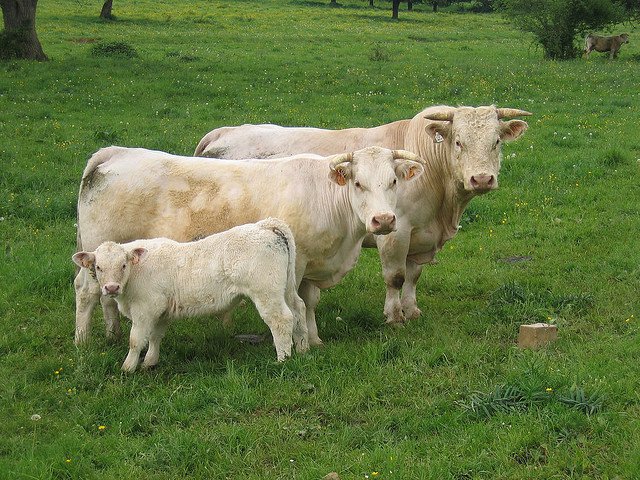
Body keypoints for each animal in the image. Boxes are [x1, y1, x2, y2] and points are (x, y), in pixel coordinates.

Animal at [72, 218, 308, 372]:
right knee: (298, 309)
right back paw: (303, 348)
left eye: (123, 265)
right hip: (286, 288)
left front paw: (127, 368)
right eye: (99, 267)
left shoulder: (145, 309)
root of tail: (264, 225)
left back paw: (283, 359)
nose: (111, 288)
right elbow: (155, 336)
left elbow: (136, 340)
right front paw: (150, 362)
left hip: (266, 292)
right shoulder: (161, 311)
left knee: (281, 319)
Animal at [195, 103, 528, 324]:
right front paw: (394, 316)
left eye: (496, 142)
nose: (482, 179)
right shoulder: (395, 230)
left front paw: (412, 310)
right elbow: (395, 277)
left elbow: (414, 276)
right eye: (458, 142)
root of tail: (224, 131)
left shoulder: (419, 236)